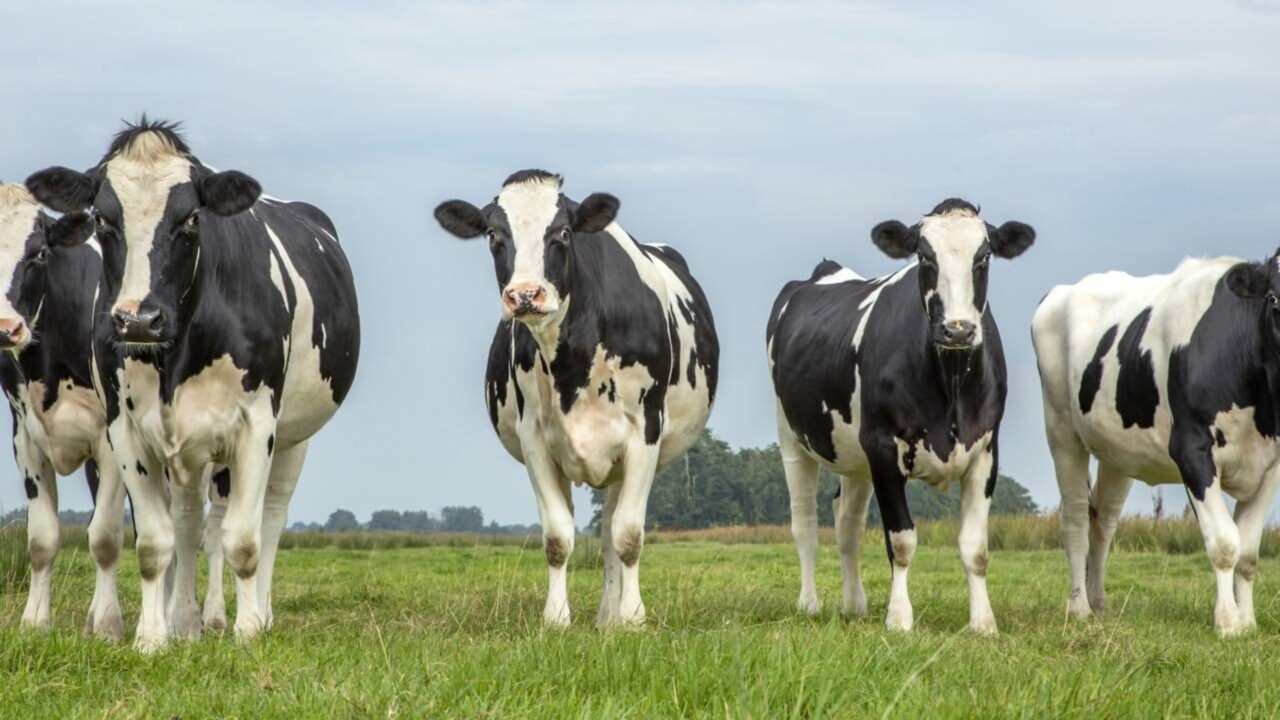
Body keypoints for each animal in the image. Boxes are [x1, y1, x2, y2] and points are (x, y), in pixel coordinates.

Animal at [0, 182, 125, 638]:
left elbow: (104, 536)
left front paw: (108, 626)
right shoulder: (25, 440)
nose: (6, 328)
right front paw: (35, 621)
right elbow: (42, 539)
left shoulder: (112, 440)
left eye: (39, 253)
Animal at [26, 118, 360, 651]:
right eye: (103, 221)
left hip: (294, 436)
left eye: (190, 221)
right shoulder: (125, 432)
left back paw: (258, 614)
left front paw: (248, 632)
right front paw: (152, 639)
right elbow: (154, 542)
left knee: (271, 518)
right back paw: (185, 622)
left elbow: (243, 540)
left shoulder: (256, 426)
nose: (138, 320)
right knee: (187, 523)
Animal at [434, 170, 719, 627]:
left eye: (563, 233)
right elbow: (557, 537)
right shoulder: (534, 439)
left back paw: (612, 617)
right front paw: (556, 619)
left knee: (610, 534)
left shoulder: (645, 433)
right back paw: (605, 617)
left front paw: (633, 618)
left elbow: (628, 535)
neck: (574, 360)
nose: (525, 295)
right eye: (493, 234)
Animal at [768, 199, 1034, 633]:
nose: (958, 329)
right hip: (793, 438)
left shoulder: (986, 452)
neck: (951, 383)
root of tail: (825, 271)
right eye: (925, 257)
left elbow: (975, 548)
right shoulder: (882, 448)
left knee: (847, 525)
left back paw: (854, 604)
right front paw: (899, 618)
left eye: (984, 257)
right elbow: (902, 540)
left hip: (854, 456)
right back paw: (810, 604)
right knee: (805, 525)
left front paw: (983, 622)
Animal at [1033, 252, 1280, 635]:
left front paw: (1247, 622)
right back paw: (1079, 608)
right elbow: (1225, 543)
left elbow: (1249, 554)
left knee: (1103, 520)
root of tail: (1061, 291)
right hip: (1062, 431)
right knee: (1074, 520)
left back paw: (1098, 603)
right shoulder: (1192, 452)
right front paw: (1226, 623)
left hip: (1116, 452)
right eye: (1274, 300)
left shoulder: (1270, 464)